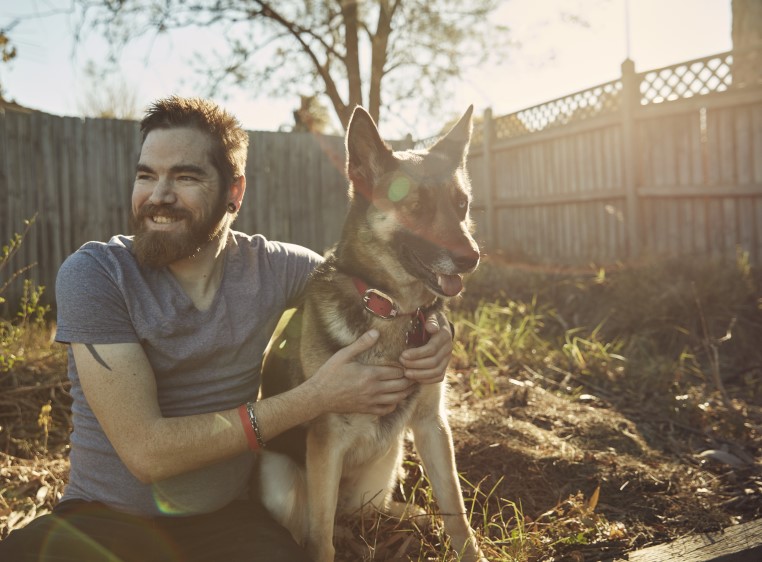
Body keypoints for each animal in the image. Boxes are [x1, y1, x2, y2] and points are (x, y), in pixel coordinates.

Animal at [258, 106, 484, 560]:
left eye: (462, 204)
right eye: (415, 207)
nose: (472, 258)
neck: (393, 308)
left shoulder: (433, 426)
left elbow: (456, 509)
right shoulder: (326, 443)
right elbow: (320, 539)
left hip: (391, 457)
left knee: (366, 510)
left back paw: (408, 518)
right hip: (278, 477)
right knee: (318, 524)